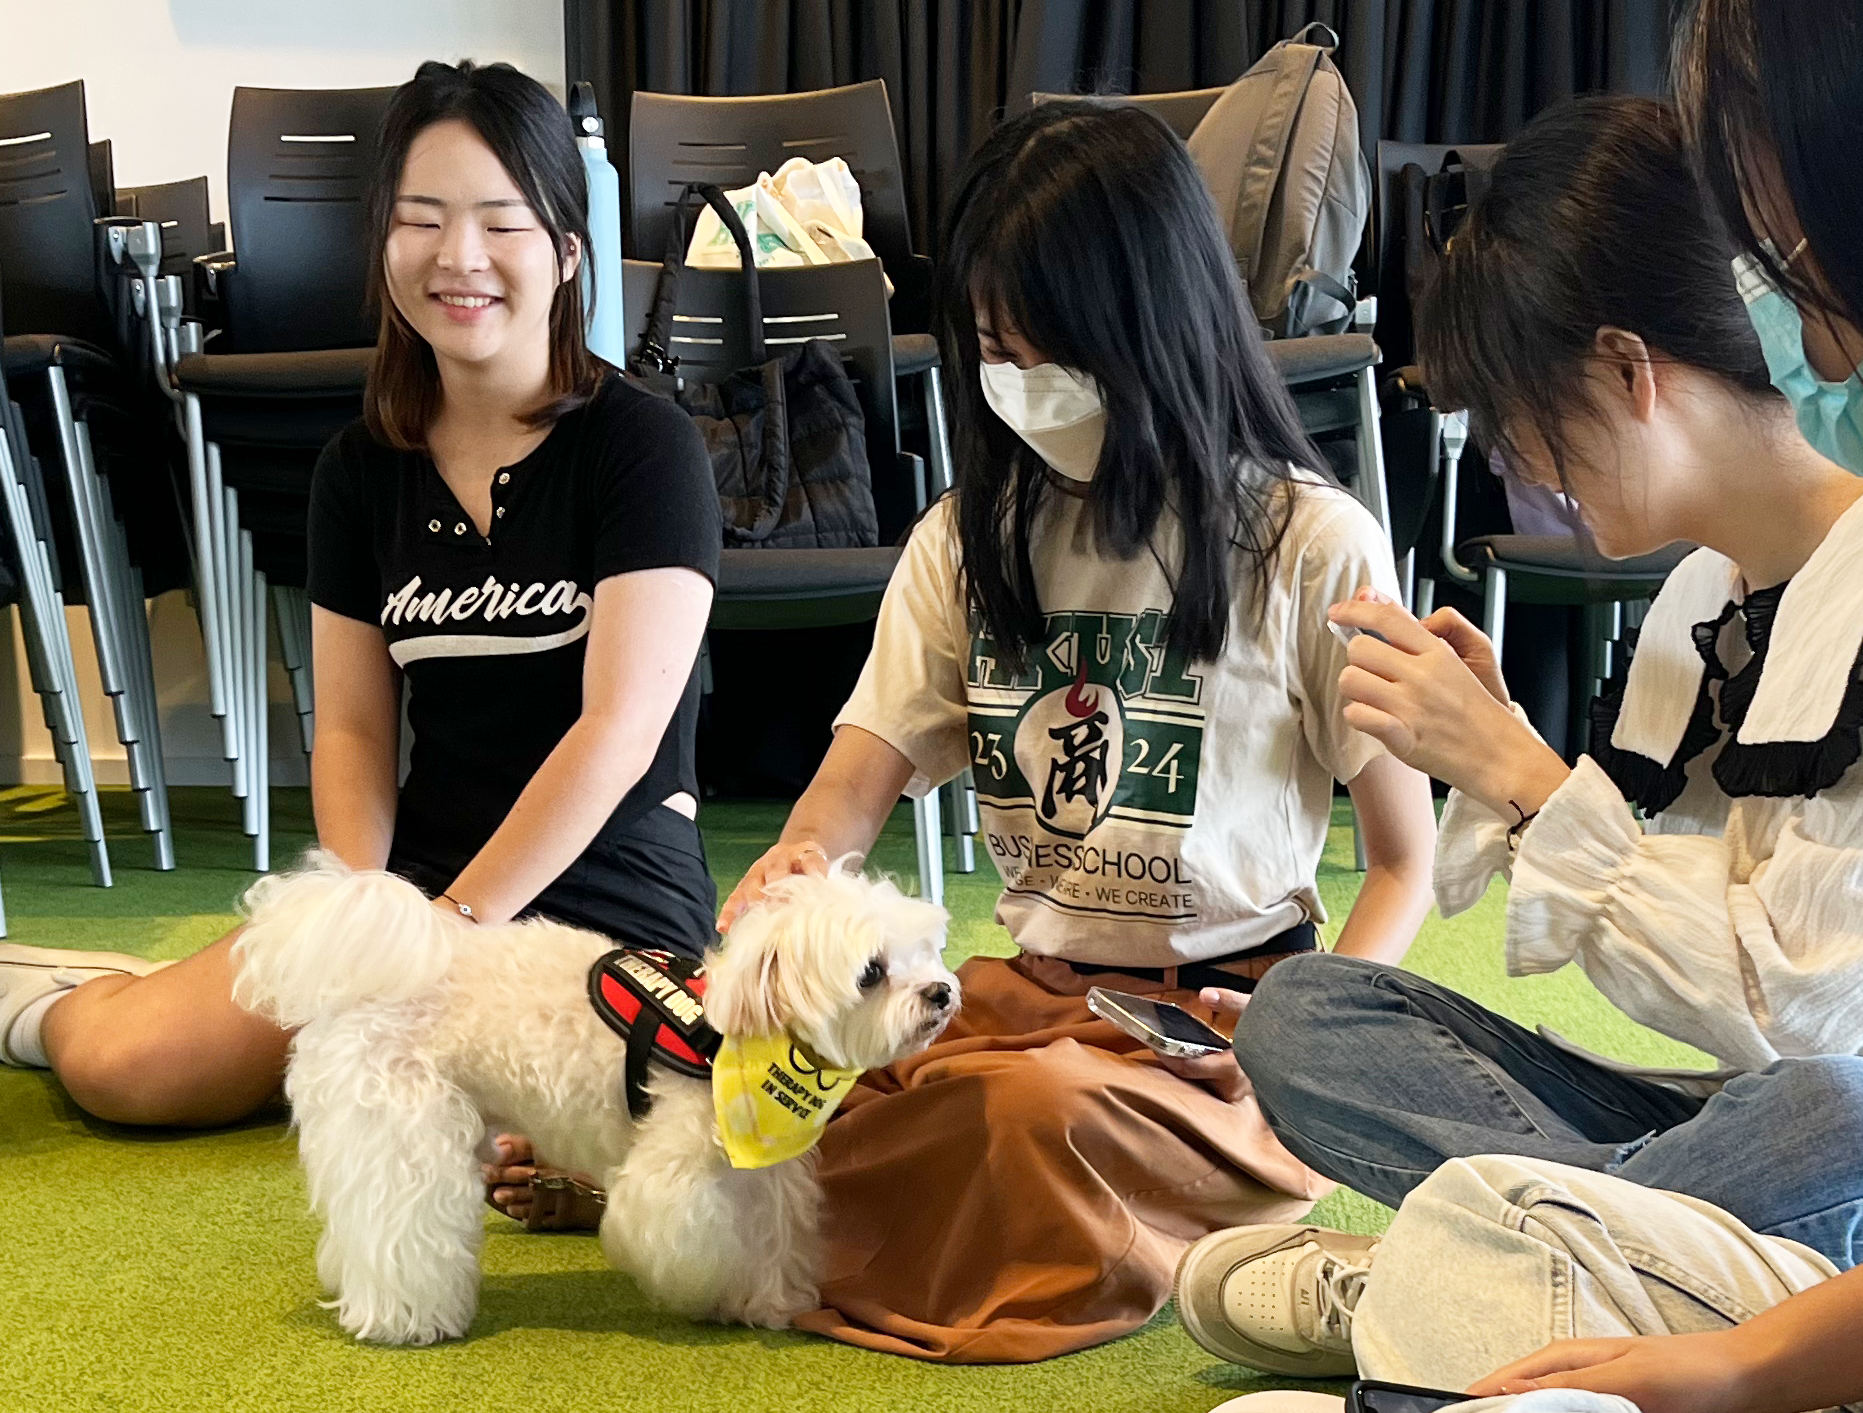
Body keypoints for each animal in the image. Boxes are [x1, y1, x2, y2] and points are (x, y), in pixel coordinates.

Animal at [229, 853, 961, 1349]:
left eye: (927, 950)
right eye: (871, 972)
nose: (941, 992)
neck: (736, 1036)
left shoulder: (766, 1172)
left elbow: (773, 1240)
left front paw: (770, 1301)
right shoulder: (679, 1173)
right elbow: (694, 1237)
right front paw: (714, 1294)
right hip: (404, 1136)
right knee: (397, 1230)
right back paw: (406, 1317)